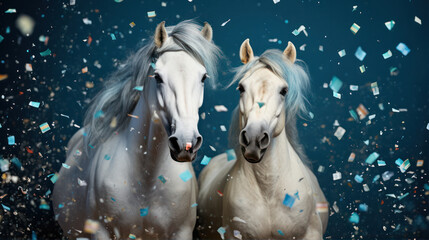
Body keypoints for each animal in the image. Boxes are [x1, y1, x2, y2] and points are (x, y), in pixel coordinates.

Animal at [51, 20, 221, 238]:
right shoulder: (101, 232)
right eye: (158, 77)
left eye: (203, 77)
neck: (146, 181)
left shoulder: (181, 233)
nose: (186, 143)